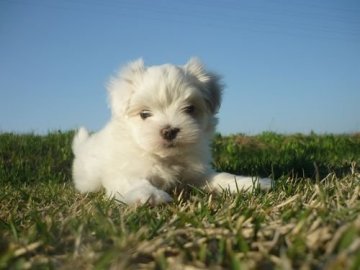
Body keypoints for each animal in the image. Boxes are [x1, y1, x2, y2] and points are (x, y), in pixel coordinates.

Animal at [72, 58, 270, 205]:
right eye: (144, 114)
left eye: (189, 109)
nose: (169, 131)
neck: (166, 157)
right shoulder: (124, 172)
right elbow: (134, 182)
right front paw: (150, 196)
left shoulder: (197, 175)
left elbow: (221, 176)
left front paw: (250, 183)